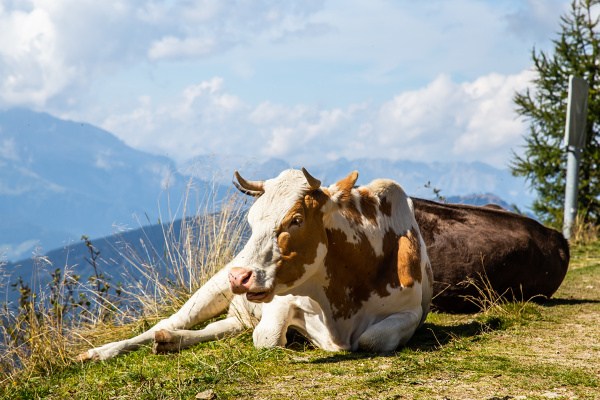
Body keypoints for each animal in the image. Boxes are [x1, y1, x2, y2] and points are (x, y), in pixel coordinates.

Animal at [78, 167, 432, 360]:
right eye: (250, 221)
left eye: (296, 220)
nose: (240, 277)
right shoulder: (282, 299)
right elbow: (267, 338)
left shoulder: (411, 312)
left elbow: (372, 339)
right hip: (213, 288)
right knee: (167, 323)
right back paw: (101, 352)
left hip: (237, 311)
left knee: (216, 329)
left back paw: (170, 342)